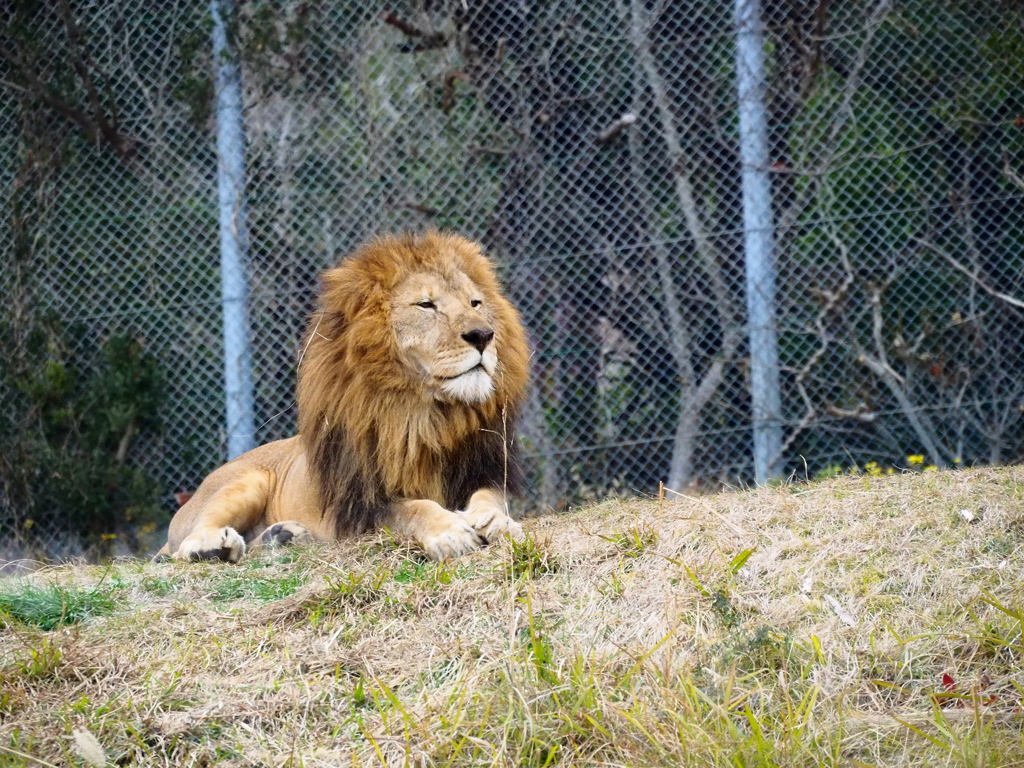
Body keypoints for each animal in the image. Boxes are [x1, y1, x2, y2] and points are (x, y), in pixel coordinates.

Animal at [157, 231, 536, 561]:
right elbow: (414, 508)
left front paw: (498, 523)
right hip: (244, 483)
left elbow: (490, 499)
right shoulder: (365, 505)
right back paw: (213, 546)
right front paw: (450, 532)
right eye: (426, 305)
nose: (483, 335)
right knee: (183, 547)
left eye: (475, 303)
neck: (425, 415)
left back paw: (281, 536)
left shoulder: (486, 470)